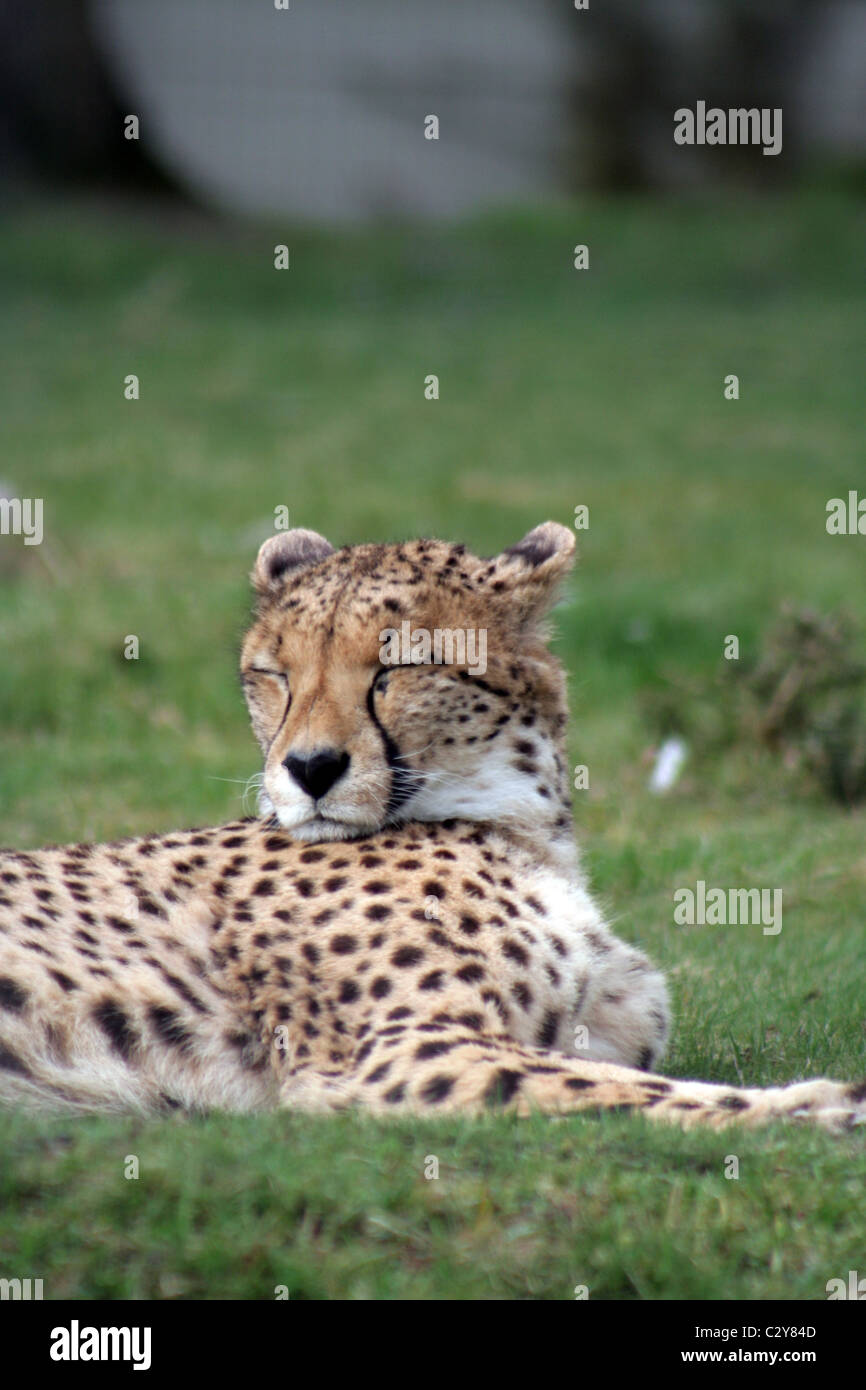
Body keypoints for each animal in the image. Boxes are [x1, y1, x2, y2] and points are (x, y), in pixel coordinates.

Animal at [0, 522, 861, 1128]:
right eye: (276, 674)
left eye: (398, 669)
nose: (309, 768)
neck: (522, 826)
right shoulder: (397, 1053)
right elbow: (633, 1091)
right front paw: (819, 1106)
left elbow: (622, 1075)